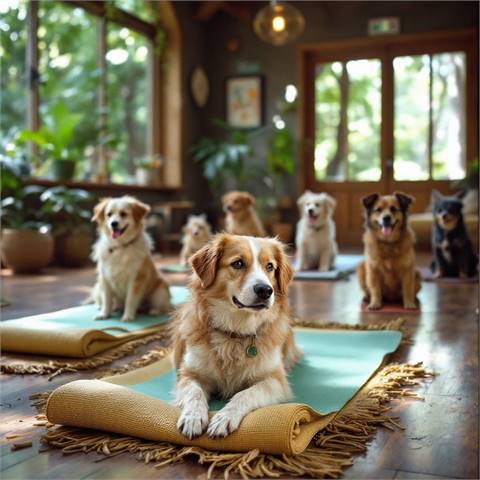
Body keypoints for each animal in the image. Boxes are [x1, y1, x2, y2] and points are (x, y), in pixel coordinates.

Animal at [172, 232, 300, 438]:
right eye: (238, 263)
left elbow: (245, 394)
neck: (235, 333)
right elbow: (195, 393)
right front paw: (193, 417)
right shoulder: (189, 373)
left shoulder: (274, 380)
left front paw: (224, 417)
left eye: (270, 266)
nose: (265, 290)